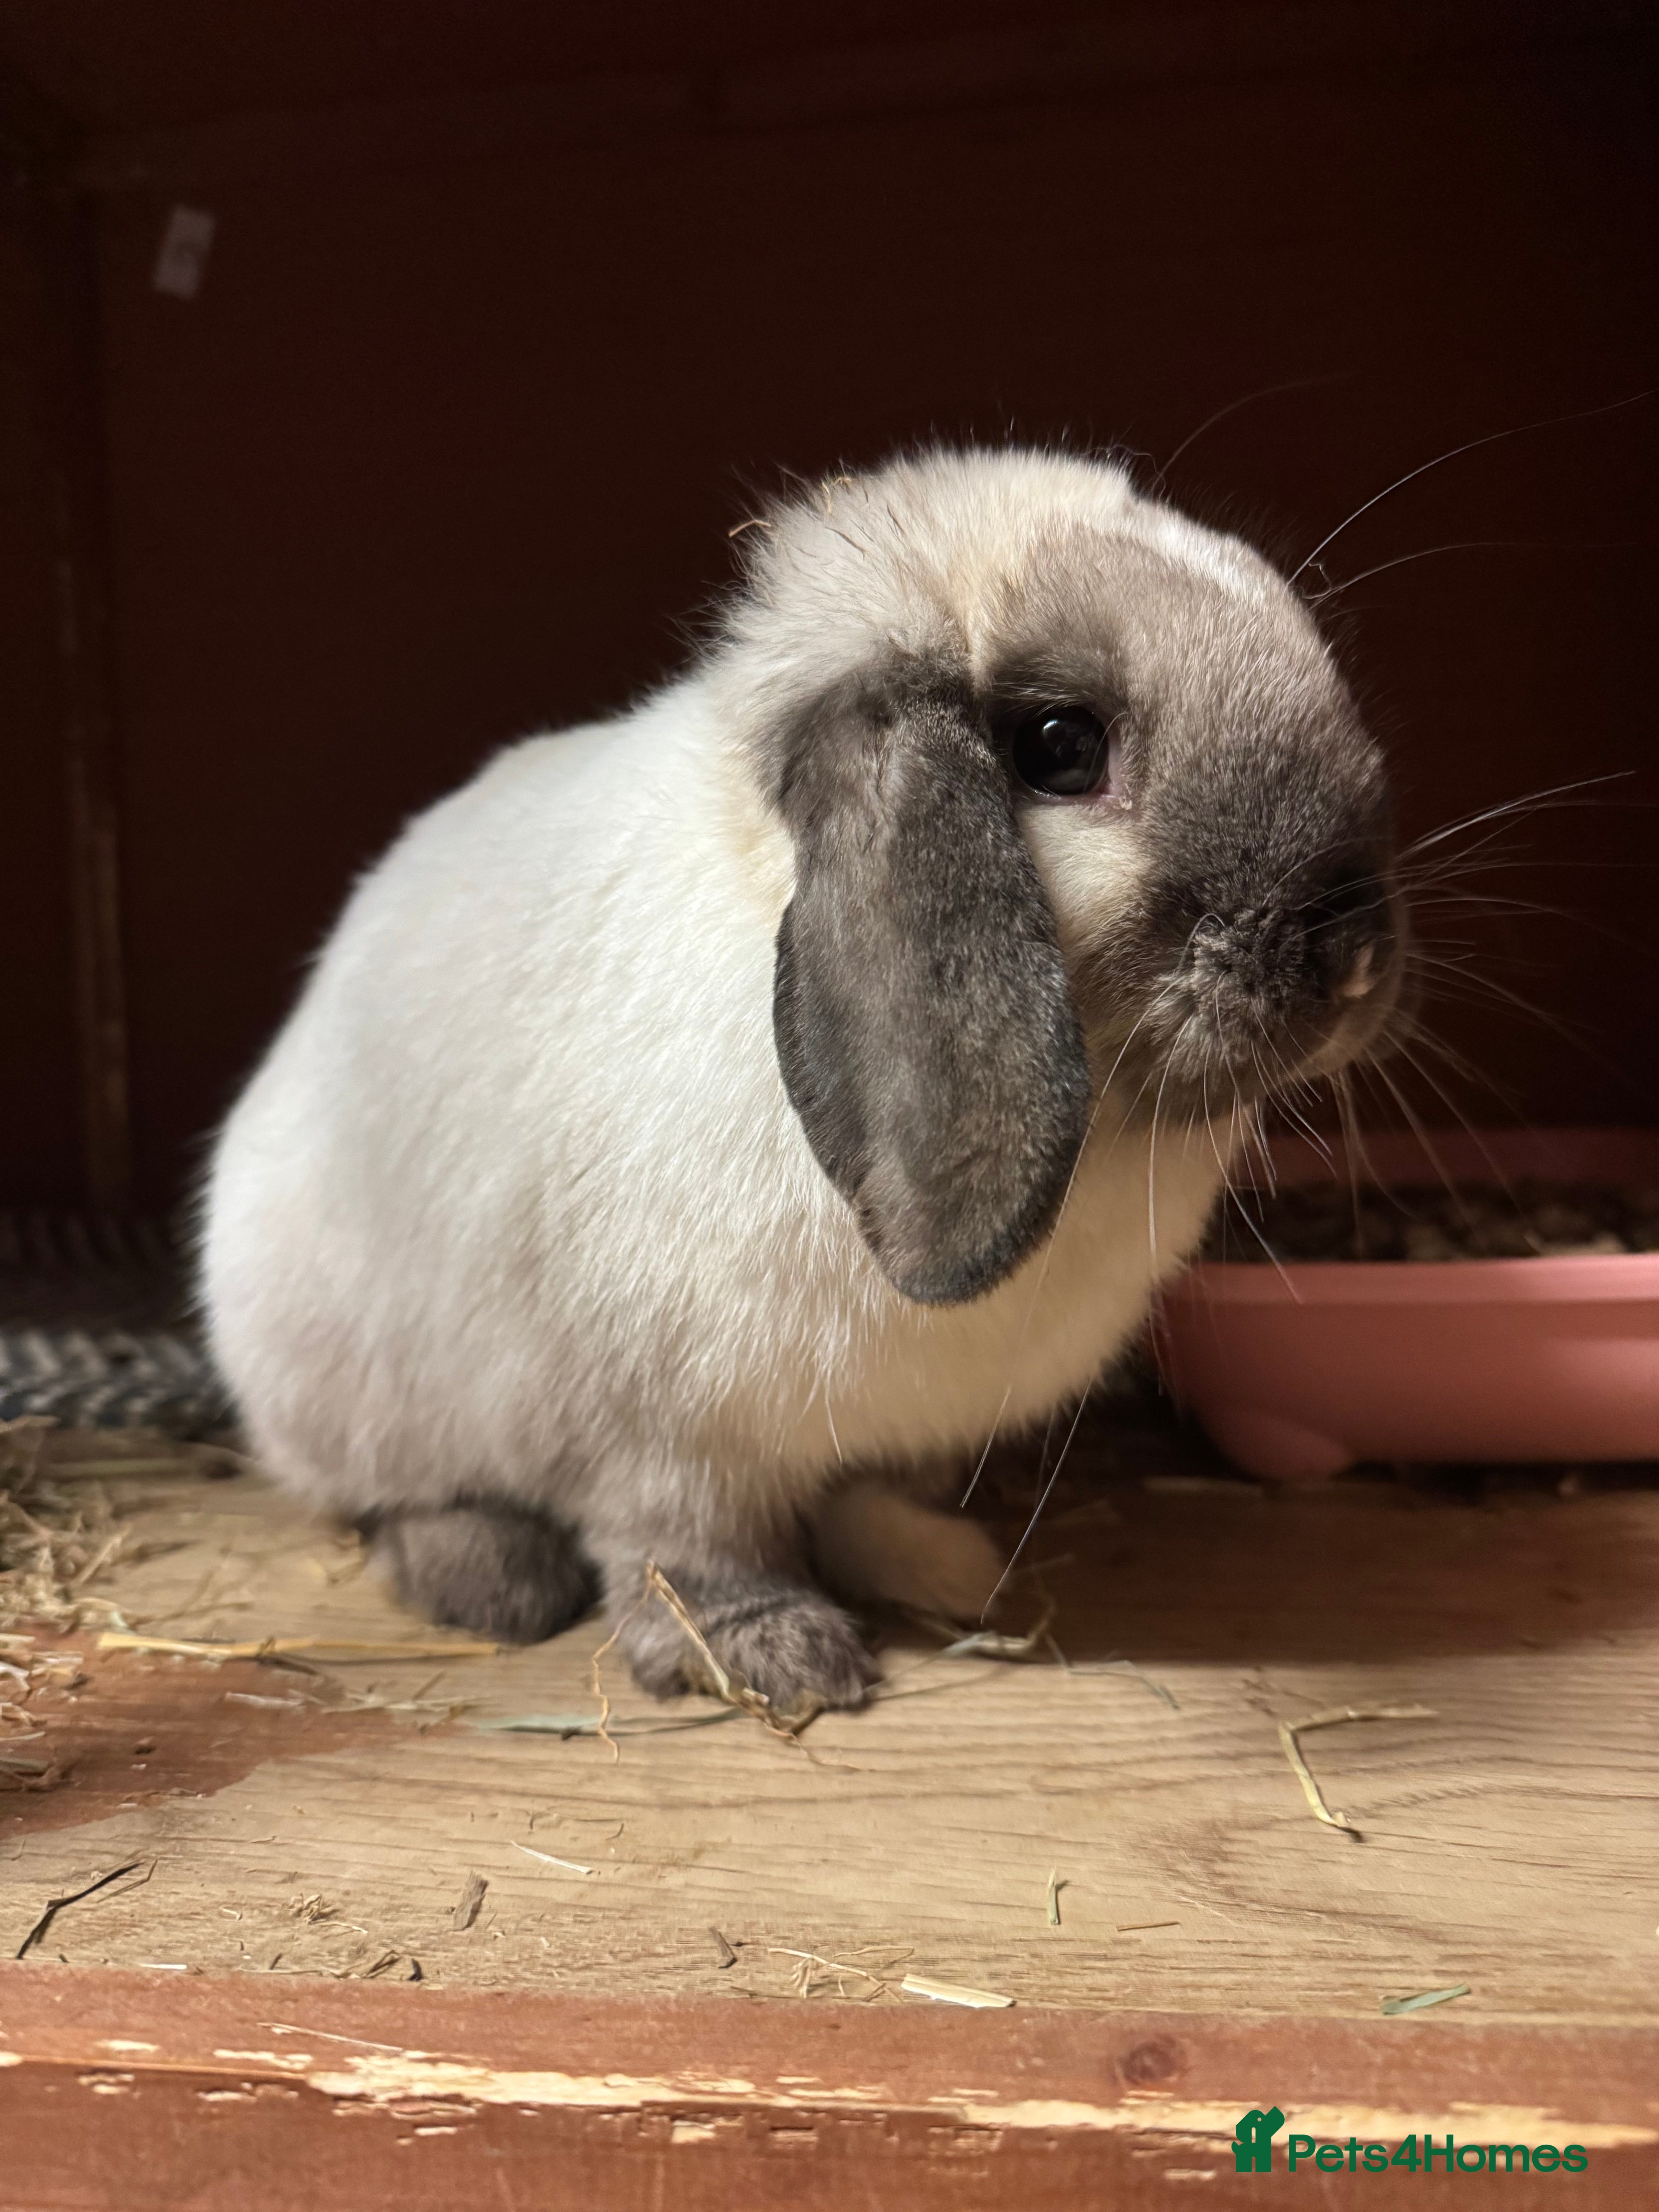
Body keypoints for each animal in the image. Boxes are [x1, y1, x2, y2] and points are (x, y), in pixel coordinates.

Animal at [201, 445, 1405, 1712]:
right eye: (1059, 745)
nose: (1352, 959)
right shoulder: (663, 1440)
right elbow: (688, 1549)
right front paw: (775, 1658)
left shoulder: (894, 1434)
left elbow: (869, 1498)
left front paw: (952, 1574)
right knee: (391, 1498)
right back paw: (494, 1581)